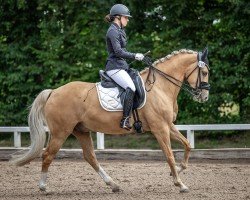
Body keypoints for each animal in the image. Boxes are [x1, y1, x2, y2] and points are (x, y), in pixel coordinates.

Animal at [10, 48, 209, 194]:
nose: (204, 97)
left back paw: (113, 184)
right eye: (205, 72)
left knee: (90, 157)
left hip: (81, 130)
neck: (159, 86)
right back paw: (44, 187)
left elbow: (187, 144)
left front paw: (179, 169)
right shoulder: (160, 128)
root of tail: (53, 92)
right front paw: (180, 184)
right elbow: (169, 154)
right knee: (47, 155)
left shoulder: (168, 125)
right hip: (61, 132)